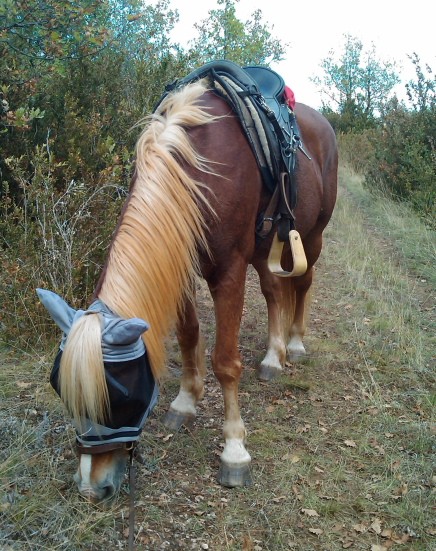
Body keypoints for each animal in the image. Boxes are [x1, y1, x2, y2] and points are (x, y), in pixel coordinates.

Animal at [38, 77, 337, 501]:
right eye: (62, 391)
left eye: (119, 398)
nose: (92, 487)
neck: (197, 171)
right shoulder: (179, 261)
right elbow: (188, 334)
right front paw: (185, 401)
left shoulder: (228, 271)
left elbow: (225, 362)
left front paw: (234, 450)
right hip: (265, 246)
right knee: (274, 292)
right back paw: (272, 356)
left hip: (311, 236)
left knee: (303, 284)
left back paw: (293, 343)